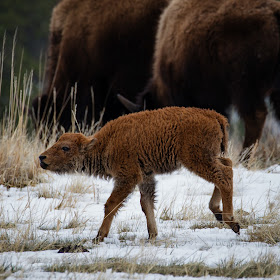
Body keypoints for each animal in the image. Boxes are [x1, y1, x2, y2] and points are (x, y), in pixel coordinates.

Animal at [40, 106, 241, 242]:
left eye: (65, 148)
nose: (42, 158)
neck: (105, 144)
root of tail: (213, 115)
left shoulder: (127, 177)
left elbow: (111, 204)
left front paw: (99, 236)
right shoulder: (146, 177)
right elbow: (146, 204)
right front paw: (152, 235)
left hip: (196, 160)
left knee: (224, 176)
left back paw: (231, 221)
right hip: (209, 157)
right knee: (227, 166)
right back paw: (219, 214)